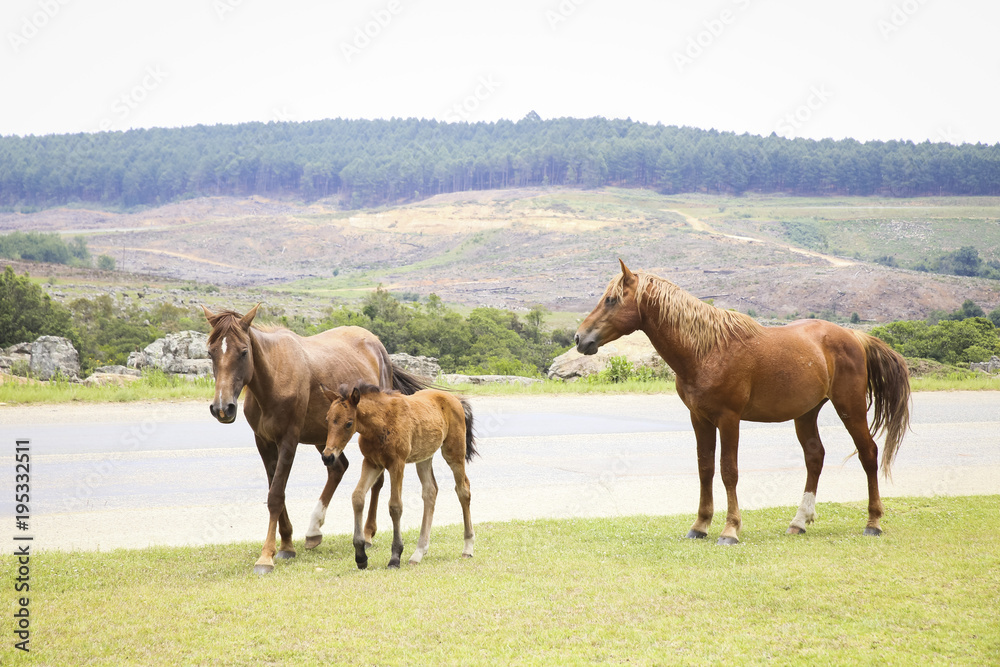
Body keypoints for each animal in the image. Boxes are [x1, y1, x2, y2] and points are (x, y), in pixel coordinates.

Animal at [203, 306, 426, 576]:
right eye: (211, 352)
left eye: (244, 351)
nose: (222, 408)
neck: (273, 378)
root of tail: (379, 347)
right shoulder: (264, 443)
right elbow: (276, 491)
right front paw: (286, 544)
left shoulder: (288, 440)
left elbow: (275, 495)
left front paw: (266, 556)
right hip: (325, 436)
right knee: (338, 468)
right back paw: (313, 530)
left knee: (378, 480)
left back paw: (367, 533)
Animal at [320, 384, 476, 572]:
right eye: (328, 419)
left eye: (349, 423)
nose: (327, 457)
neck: (379, 424)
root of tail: (455, 399)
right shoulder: (372, 463)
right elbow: (357, 497)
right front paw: (361, 556)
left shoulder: (397, 464)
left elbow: (395, 506)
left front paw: (395, 557)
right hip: (424, 456)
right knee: (430, 491)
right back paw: (418, 553)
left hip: (454, 451)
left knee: (463, 489)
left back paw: (468, 547)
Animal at [576, 260, 912, 544]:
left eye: (611, 300)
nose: (580, 339)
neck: (706, 350)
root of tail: (855, 336)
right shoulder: (699, 418)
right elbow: (705, 468)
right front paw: (700, 526)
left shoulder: (729, 419)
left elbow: (729, 471)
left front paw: (730, 530)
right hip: (806, 414)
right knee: (815, 457)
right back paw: (799, 521)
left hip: (849, 408)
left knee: (868, 454)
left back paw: (873, 522)